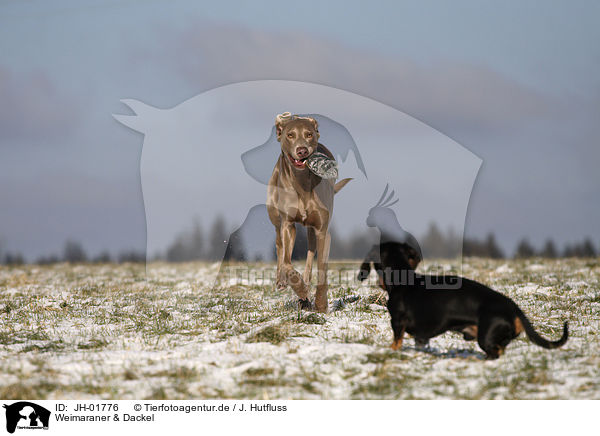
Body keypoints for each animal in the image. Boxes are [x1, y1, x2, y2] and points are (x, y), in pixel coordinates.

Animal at [268, 110, 352, 312]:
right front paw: (298, 287)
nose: (302, 151)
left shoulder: (322, 230)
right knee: (279, 245)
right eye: (290, 135)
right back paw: (282, 281)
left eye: (309, 134)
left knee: (310, 251)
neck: (302, 184)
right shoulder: (288, 225)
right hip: (274, 214)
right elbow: (288, 263)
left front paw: (320, 303)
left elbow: (322, 267)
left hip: (312, 229)